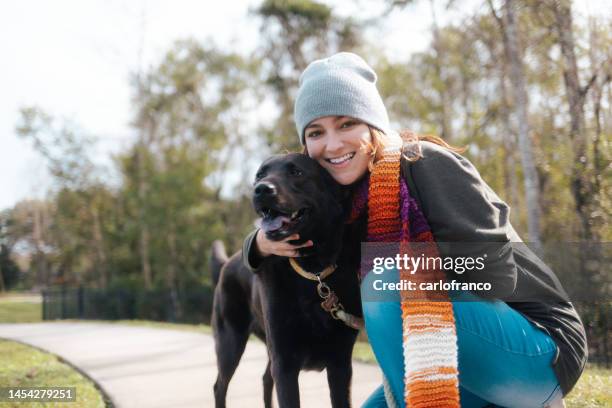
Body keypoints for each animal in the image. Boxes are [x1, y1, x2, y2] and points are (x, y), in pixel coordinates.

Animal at [212, 154, 364, 408]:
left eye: (297, 172)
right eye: (259, 175)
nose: (261, 189)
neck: (313, 271)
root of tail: (227, 262)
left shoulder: (341, 364)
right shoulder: (285, 363)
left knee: (265, 378)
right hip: (230, 342)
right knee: (220, 386)